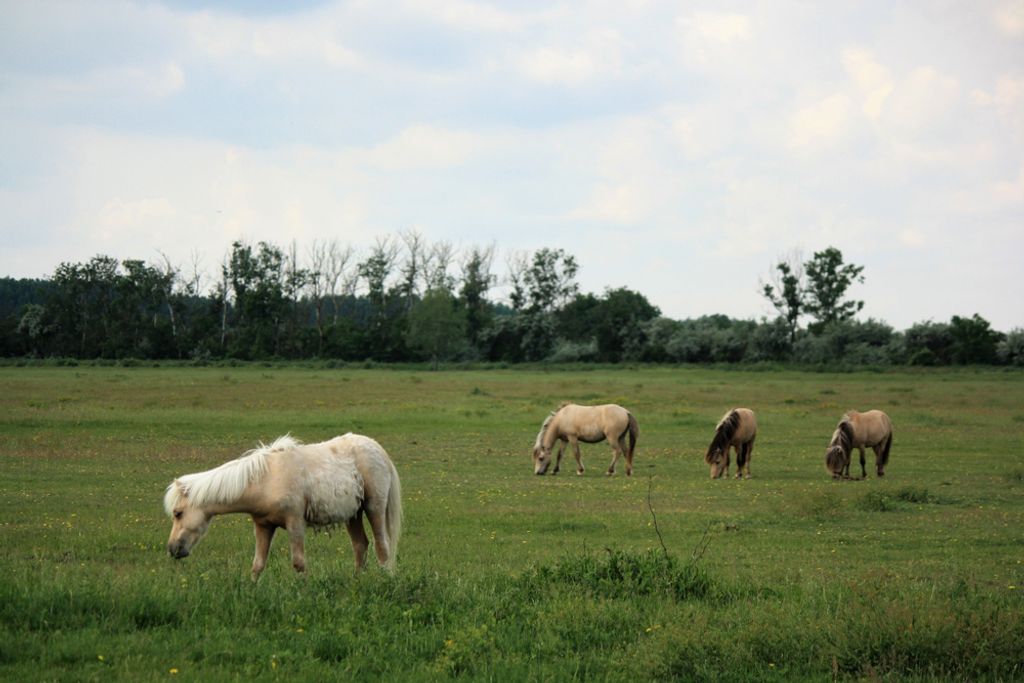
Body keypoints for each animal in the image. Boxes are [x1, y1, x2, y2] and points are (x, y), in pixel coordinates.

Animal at [163, 432, 399, 577]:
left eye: (178, 513)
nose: (173, 549)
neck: (265, 479)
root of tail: (378, 449)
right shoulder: (263, 526)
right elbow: (258, 565)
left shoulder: (295, 524)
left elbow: (299, 563)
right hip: (353, 514)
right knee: (360, 546)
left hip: (374, 508)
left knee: (382, 547)